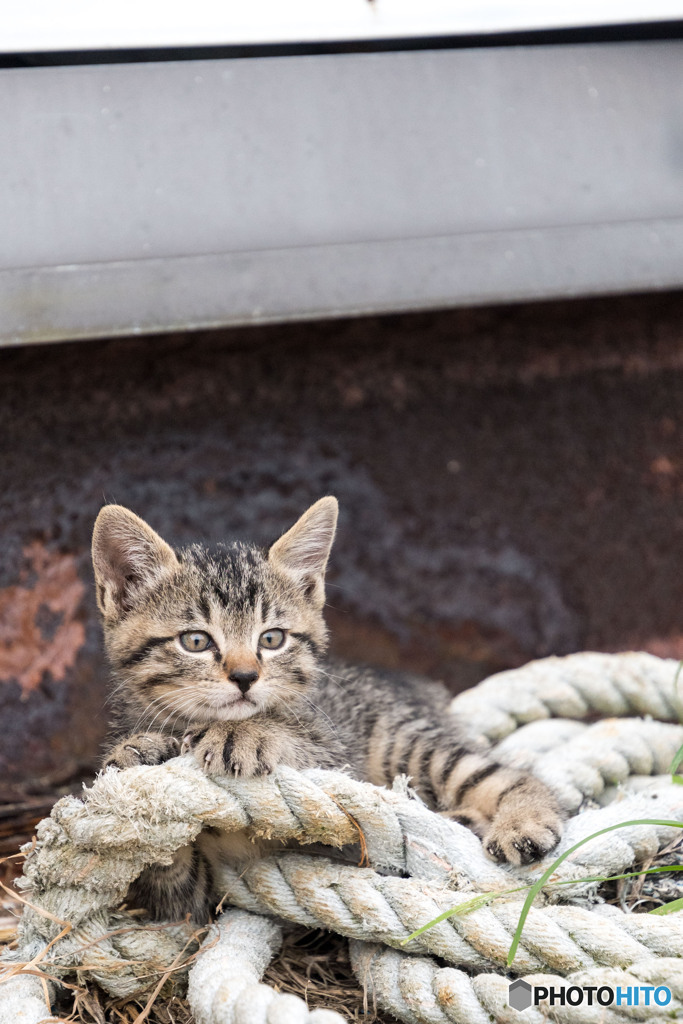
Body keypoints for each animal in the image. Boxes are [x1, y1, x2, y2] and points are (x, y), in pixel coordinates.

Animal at [93, 499, 565, 925]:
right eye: (195, 641)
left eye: (272, 638)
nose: (245, 676)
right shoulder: (193, 900)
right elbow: (174, 882)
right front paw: (140, 753)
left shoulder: (337, 753)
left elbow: (303, 747)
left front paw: (247, 734)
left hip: (405, 744)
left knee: (500, 774)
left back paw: (521, 821)